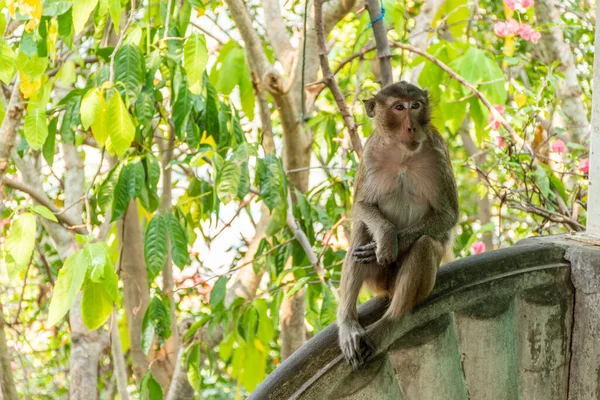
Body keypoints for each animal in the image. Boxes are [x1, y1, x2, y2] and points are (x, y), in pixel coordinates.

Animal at [336, 80, 458, 368]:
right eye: (399, 107)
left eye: (416, 105)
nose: (411, 126)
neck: (403, 154)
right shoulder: (369, 155)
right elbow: (362, 206)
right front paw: (386, 237)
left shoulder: (437, 154)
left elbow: (448, 215)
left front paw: (394, 242)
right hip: (377, 283)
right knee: (361, 233)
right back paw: (348, 324)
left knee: (425, 245)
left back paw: (387, 325)